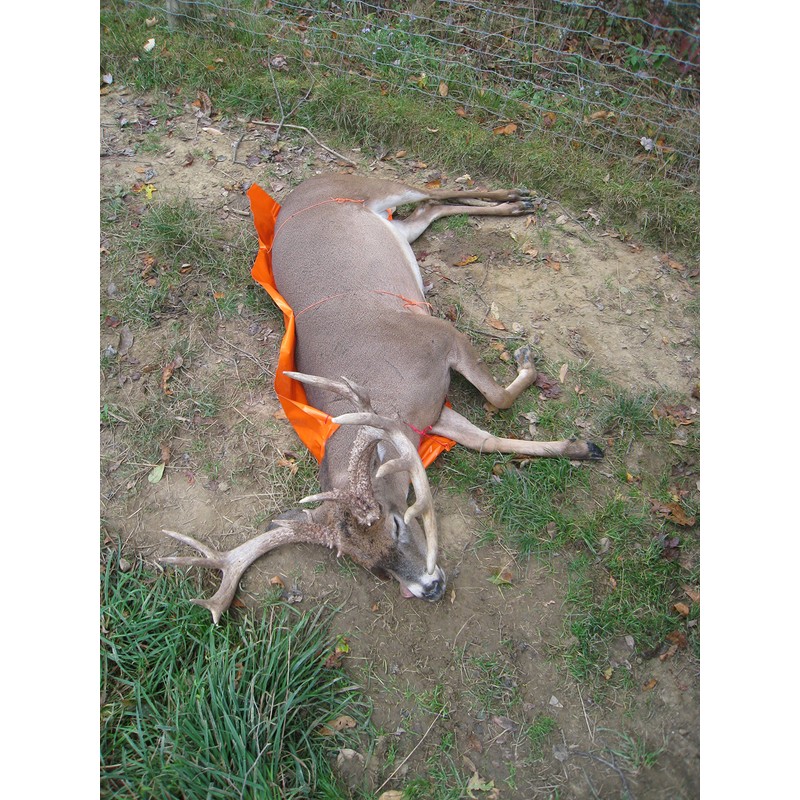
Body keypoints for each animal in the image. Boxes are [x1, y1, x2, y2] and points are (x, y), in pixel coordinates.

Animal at [161, 173, 603, 623]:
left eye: (395, 523)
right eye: (371, 566)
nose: (429, 588)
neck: (391, 401)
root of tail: (300, 189)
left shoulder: (440, 337)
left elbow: (498, 399)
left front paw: (528, 363)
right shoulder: (432, 416)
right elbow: (486, 439)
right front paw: (582, 447)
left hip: (368, 184)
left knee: (431, 191)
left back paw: (517, 199)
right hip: (399, 227)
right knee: (426, 211)